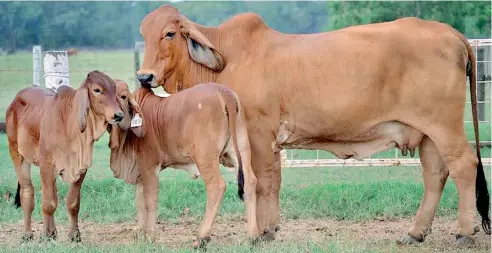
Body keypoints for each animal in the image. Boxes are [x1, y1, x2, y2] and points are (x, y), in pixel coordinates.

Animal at [6, 70, 124, 242]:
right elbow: (48, 203)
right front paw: (47, 234)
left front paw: (74, 235)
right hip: (17, 154)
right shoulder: (46, 165)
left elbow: (72, 202)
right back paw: (28, 234)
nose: (119, 115)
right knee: (27, 193)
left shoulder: (81, 167)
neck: (69, 124)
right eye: (97, 90)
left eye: (114, 90)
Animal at [110, 81, 260, 247]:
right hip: (240, 149)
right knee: (250, 182)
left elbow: (149, 200)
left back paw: (201, 238)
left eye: (123, 96)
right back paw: (253, 236)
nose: (116, 115)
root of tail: (223, 91)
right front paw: (139, 233)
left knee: (216, 187)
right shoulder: (141, 170)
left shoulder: (149, 165)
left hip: (205, 157)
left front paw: (150, 236)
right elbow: (139, 200)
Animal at [136, 4, 490, 245]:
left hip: (444, 125)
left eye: (169, 33)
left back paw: (464, 232)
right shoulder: (270, 142)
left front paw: (262, 231)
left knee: (464, 165)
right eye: (143, 35)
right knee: (435, 174)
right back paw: (416, 232)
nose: (144, 77)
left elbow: (262, 182)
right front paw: (271, 227)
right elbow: (274, 181)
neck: (228, 62)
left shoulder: (258, 134)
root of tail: (450, 32)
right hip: (428, 133)